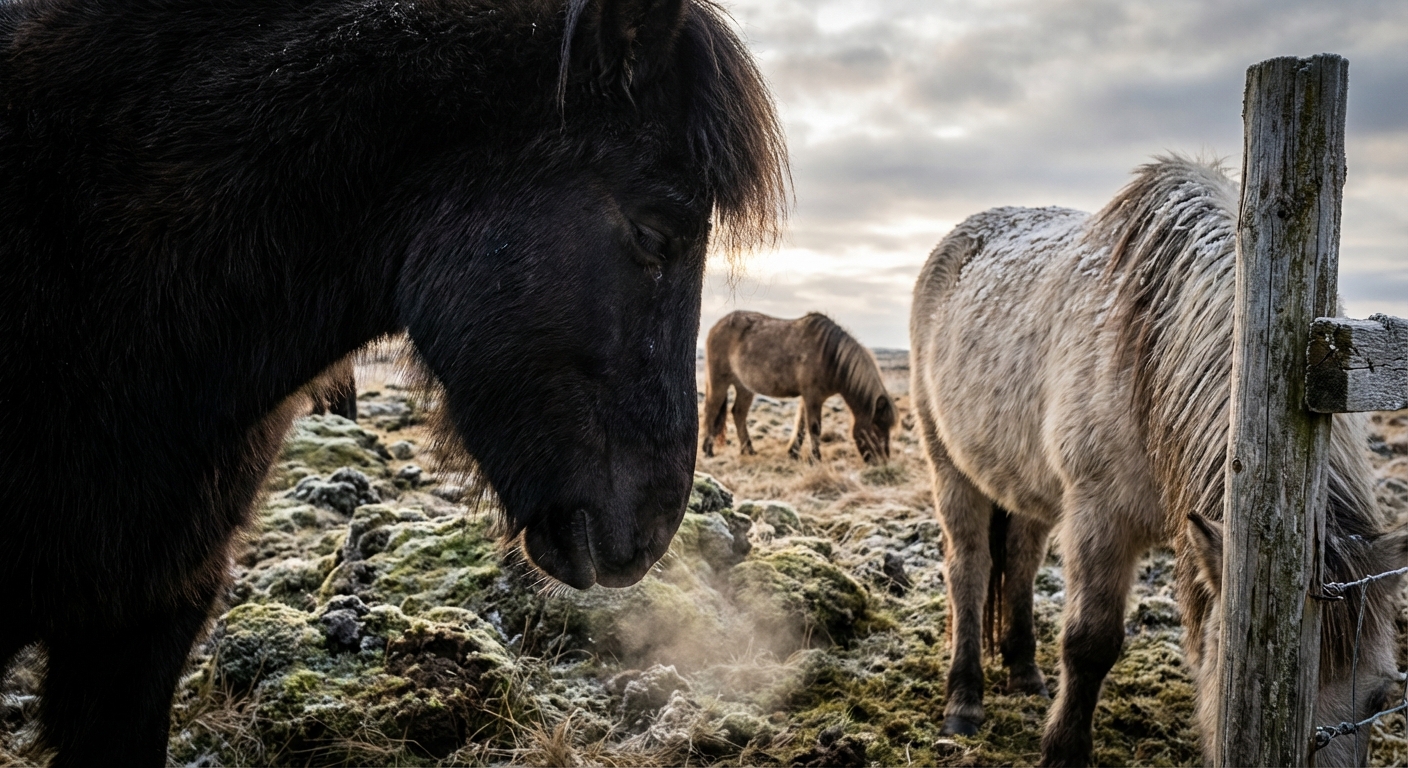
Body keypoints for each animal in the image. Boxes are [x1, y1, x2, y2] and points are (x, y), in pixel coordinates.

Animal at [701, 310, 896, 463]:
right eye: (876, 427)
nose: (882, 462)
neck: (830, 357)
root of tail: (716, 326)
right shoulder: (812, 397)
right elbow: (814, 428)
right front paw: (816, 459)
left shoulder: (809, 398)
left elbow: (802, 426)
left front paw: (793, 453)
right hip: (719, 382)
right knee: (712, 410)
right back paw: (708, 451)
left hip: (744, 388)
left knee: (739, 413)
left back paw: (748, 450)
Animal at [910, 157, 1405, 767]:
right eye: (1244, 697)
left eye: (1381, 698)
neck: (1151, 355)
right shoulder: (1098, 516)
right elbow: (1090, 642)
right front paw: (1063, 751)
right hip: (949, 465)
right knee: (969, 570)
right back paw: (964, 702)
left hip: (1027, 484)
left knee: (1021, 559)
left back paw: (1025, 674)